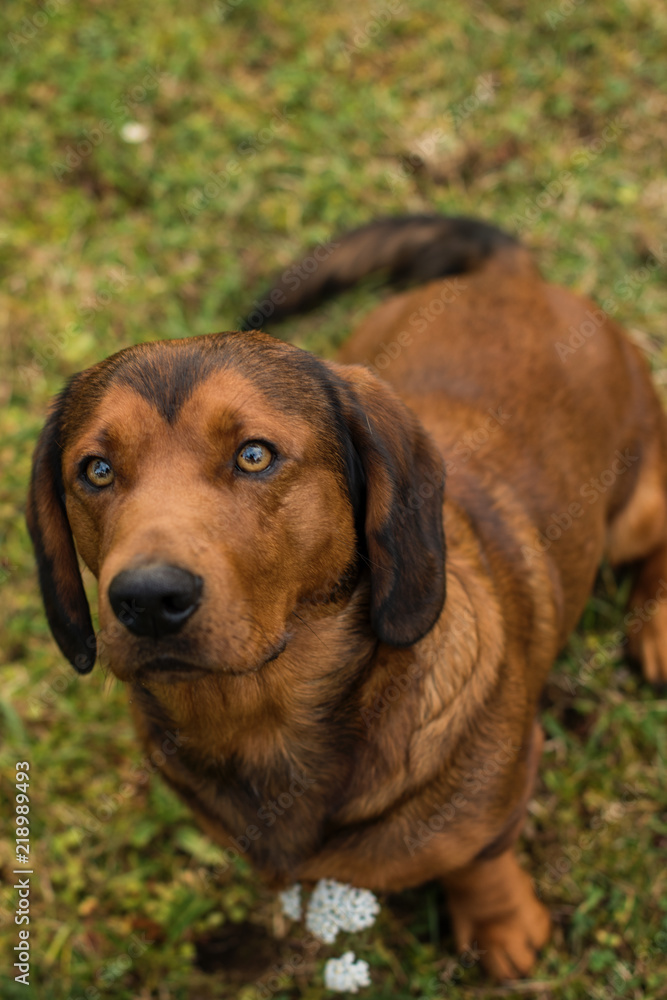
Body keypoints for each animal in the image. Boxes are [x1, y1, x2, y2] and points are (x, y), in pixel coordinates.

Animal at [27, 217, 667, 976]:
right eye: (95, 470)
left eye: (254, 455)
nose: (148, 599)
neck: (262, 719)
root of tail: (513, 277)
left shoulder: (499, 803)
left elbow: (480, 864)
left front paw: (502, 928)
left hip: (632, 514)